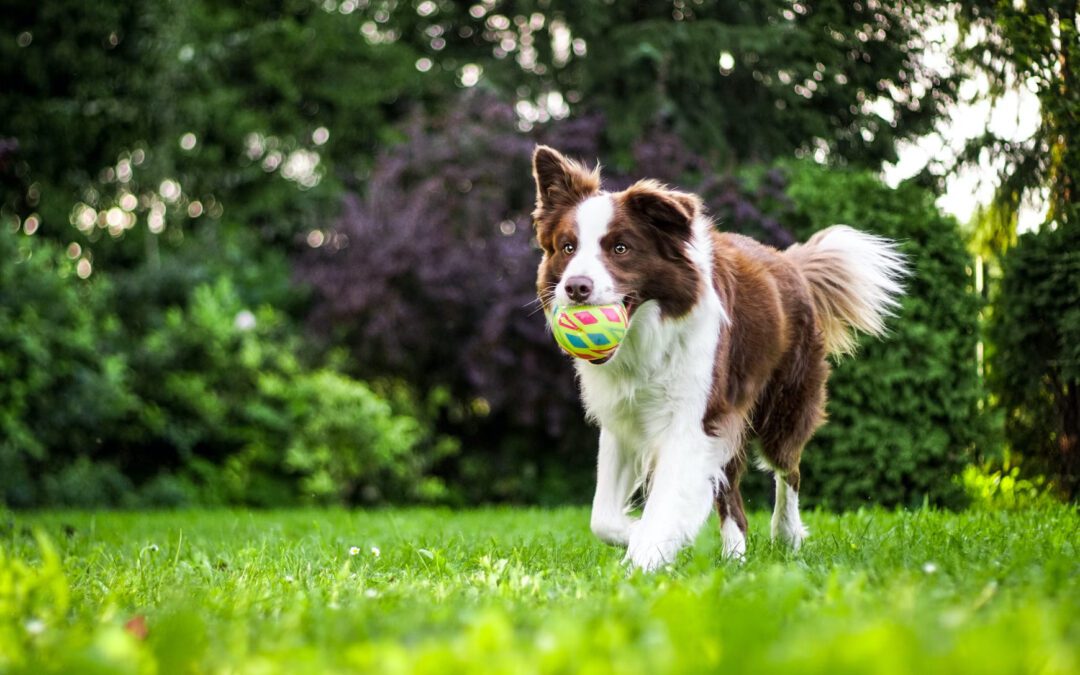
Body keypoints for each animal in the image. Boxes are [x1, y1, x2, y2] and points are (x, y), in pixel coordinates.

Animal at [531, 145, 911, 570]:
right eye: (568, 247)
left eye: (620, 248)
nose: (576, 287)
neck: (647, 336)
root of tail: (790, 262)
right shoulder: (624, 419)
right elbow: (603, 518)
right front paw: (640, 535)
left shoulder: (693, 419)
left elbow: (666, 502)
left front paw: (645, 556)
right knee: (733, 497)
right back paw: (734, 557)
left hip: (783, 405)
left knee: (788, 469)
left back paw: (786, 534)